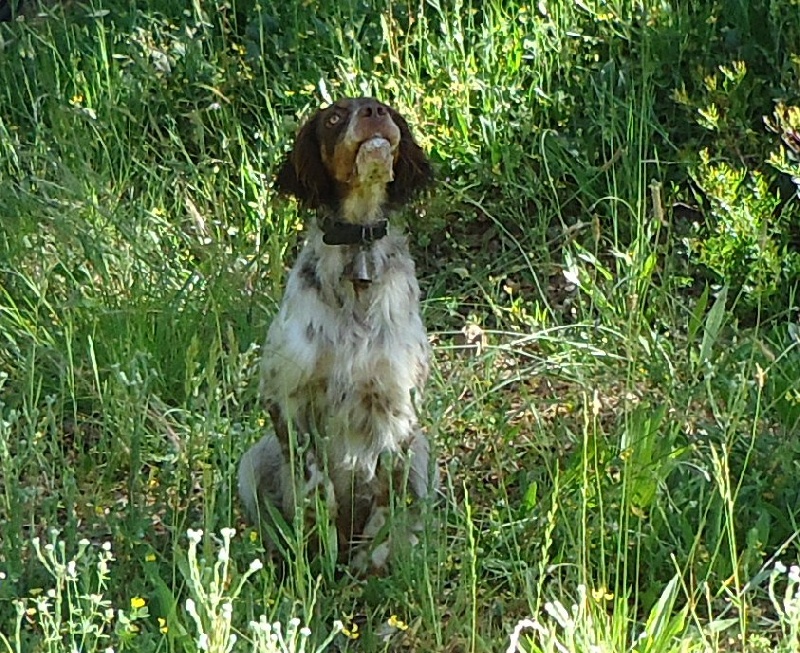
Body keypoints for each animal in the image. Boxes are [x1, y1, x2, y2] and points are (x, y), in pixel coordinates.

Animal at [238, 97, 434, 572]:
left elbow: (387, 494)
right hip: (251, 461)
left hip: (425, 454)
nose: (373, 114)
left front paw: (375, 559)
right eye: (333, 118)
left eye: (387, 110)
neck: (355, 251)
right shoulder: (287, 397)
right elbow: (314, 489)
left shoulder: (399, 405)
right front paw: (318, 553)